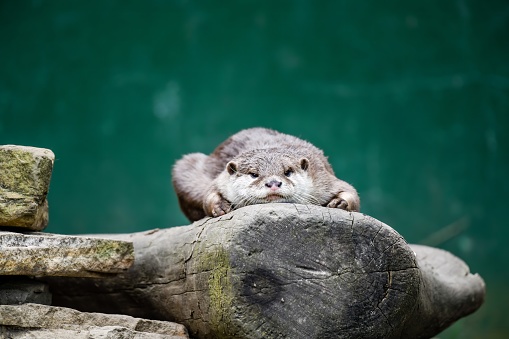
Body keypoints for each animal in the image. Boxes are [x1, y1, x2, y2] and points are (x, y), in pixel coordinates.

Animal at [173, 129, 360, 222]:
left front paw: (340, 202)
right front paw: (220, 206)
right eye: (254, 174)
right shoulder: (220, 179)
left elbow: (351, 191)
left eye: (287, 172)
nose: (273, 183)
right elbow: (208, 195)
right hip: (185, 166)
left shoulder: (321, 177)